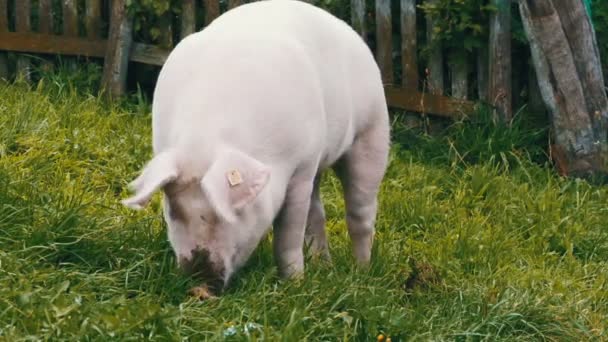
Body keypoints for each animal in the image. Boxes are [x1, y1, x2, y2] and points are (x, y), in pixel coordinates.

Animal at [123, 0, 390, 292]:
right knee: (318, 212)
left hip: (372, 132)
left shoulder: (301, 166)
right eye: (173, 211)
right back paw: (324, 266)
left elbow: (288, 234)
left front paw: (293, 283)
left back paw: (362, 271)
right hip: (321, 163)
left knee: (361, 212)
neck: (206, 137)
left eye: (227, 213)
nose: (199, 289)